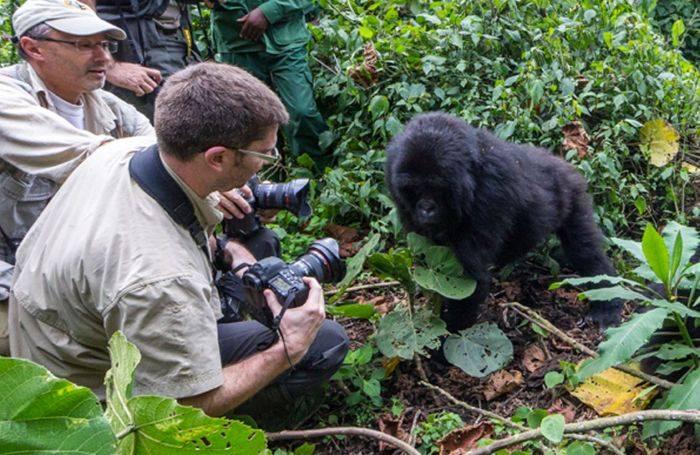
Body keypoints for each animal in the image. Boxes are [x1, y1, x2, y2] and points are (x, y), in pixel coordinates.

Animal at [386, 110, 620, 332]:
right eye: (414, 188)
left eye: (435, 188)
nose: (426, 209)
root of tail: (561, 162)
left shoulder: (491, 191)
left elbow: (469, 281)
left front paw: (446, 338)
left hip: (572, 191)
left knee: (584, 250)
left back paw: (607, 304)